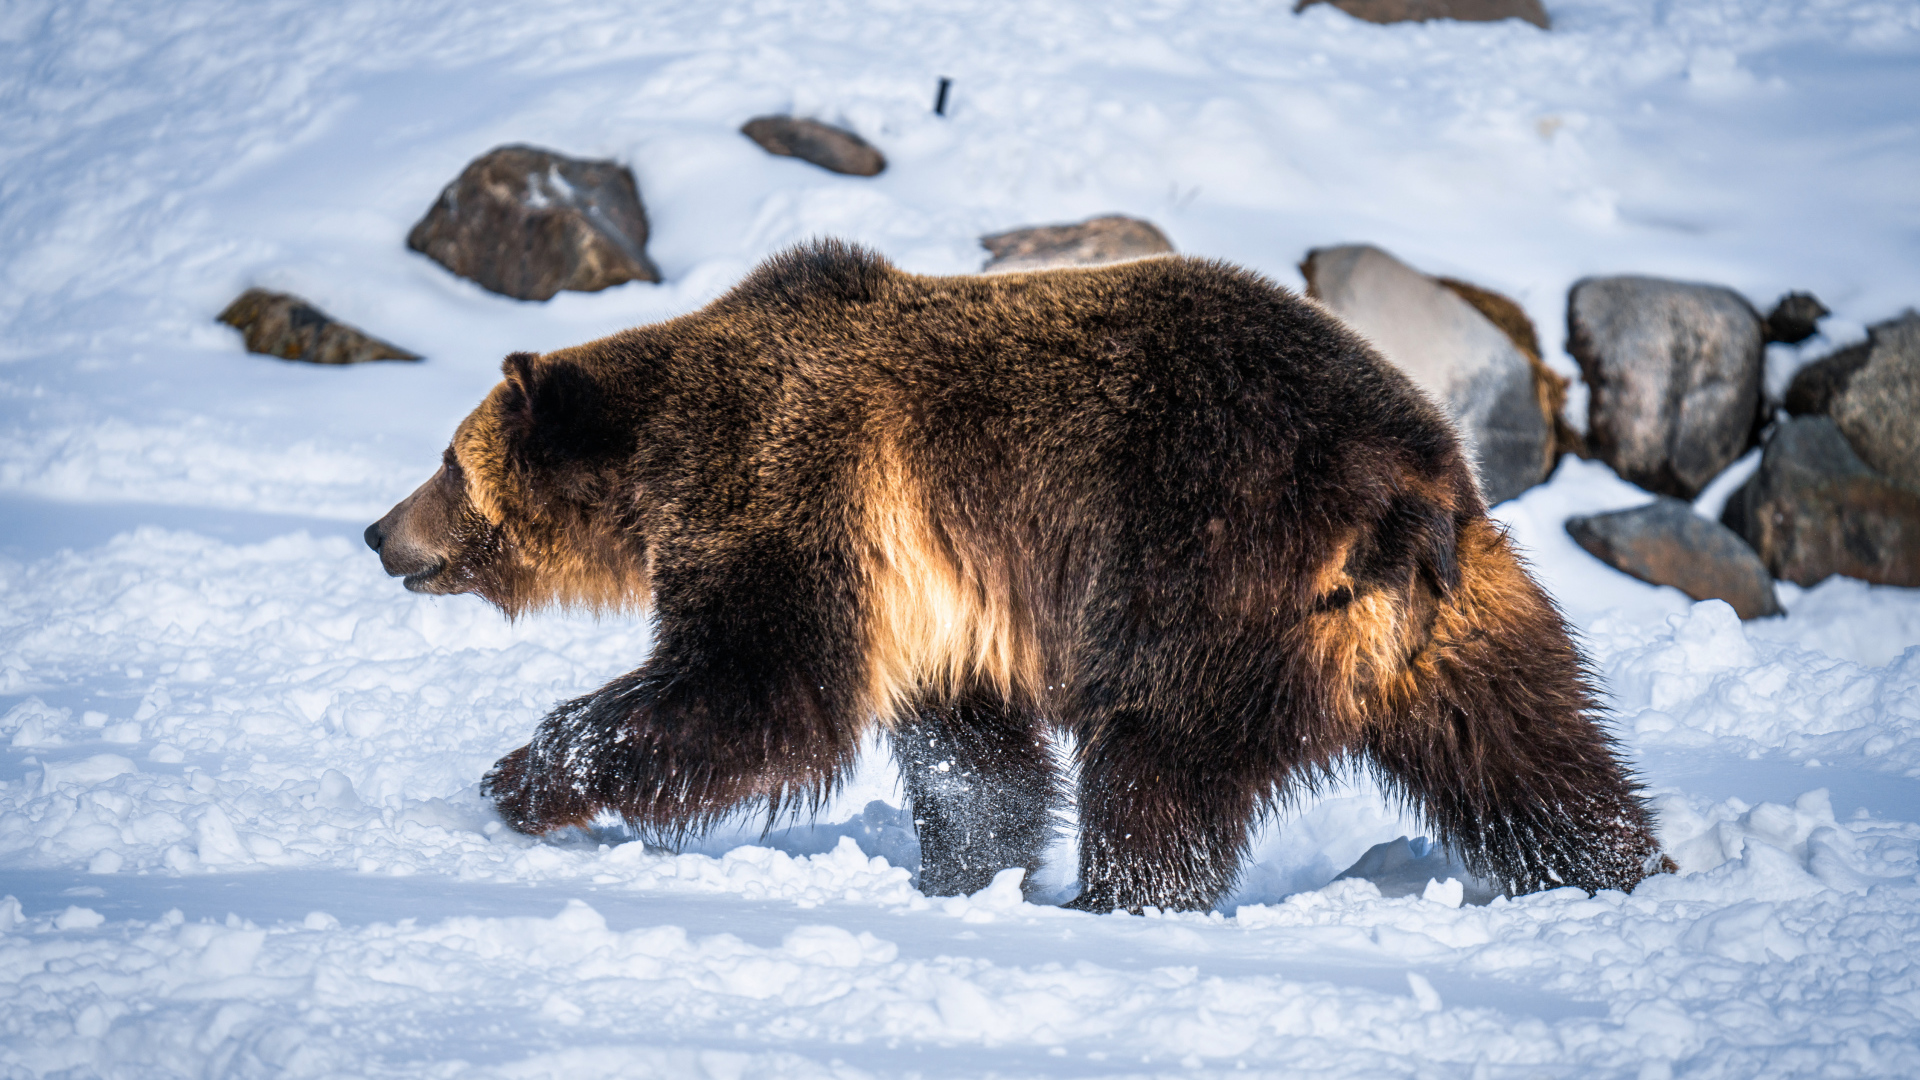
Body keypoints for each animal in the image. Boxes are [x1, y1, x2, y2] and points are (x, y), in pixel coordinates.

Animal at [365, 240, 1668, 913]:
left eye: (447, 461)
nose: (379, 532)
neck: (662, 458)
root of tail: (1405, 491)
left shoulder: (795, 490)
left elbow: (759, 688)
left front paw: (523, 775)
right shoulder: (942, 603)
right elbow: (973, 761)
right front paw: (962, 872)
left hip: (1206, 579)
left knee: (1155, 772)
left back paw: (1122, 900)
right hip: (1469, 613)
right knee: (1536, 755)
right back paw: (1620, 870)